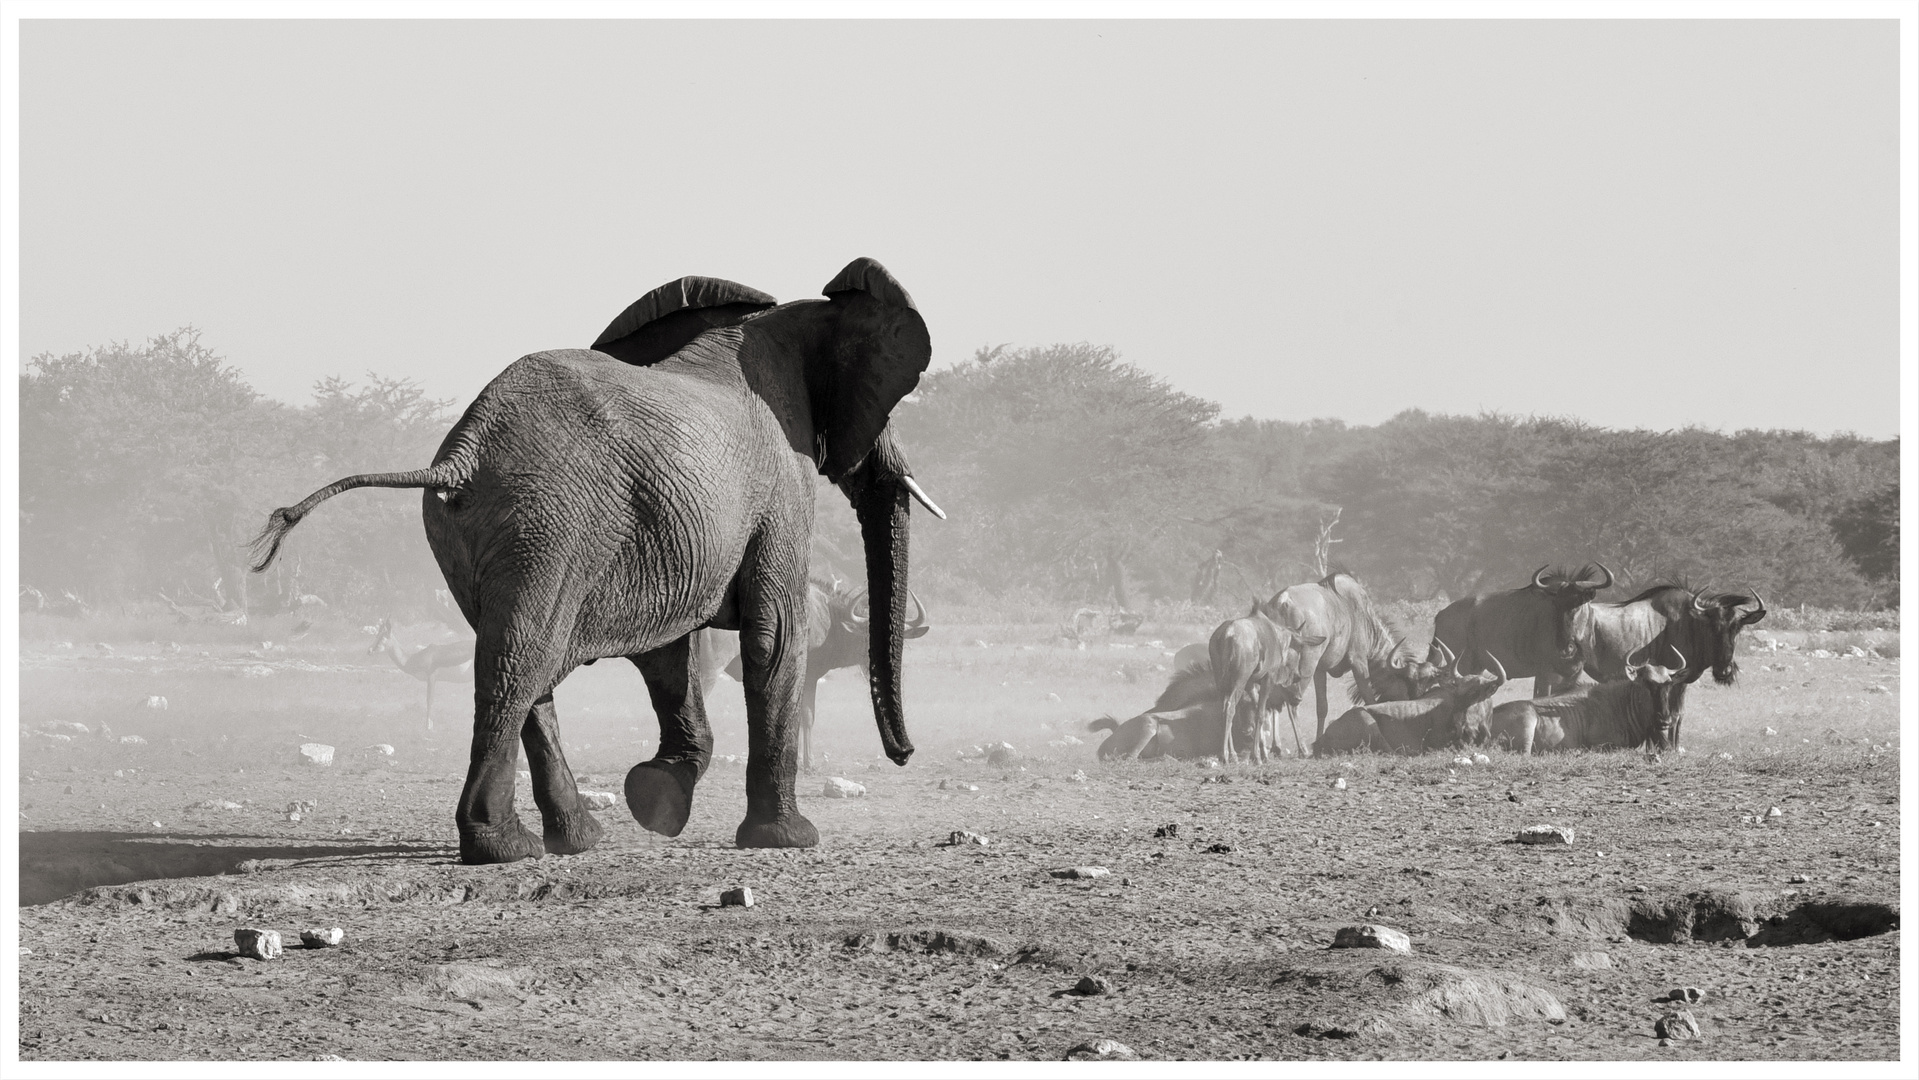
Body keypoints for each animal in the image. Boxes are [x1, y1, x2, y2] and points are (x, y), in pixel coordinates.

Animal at [253, 257, 944, 867]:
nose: (905, 754)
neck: (785, 319)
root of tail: (462, 455)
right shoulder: (782, 489)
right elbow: (774, 636)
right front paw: (790, 840)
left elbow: (669, 653)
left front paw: (656, 800)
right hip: (548, 525)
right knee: (521, 663)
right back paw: (502, 849)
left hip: (476, 533)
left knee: (518, 662)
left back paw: (575, 841)